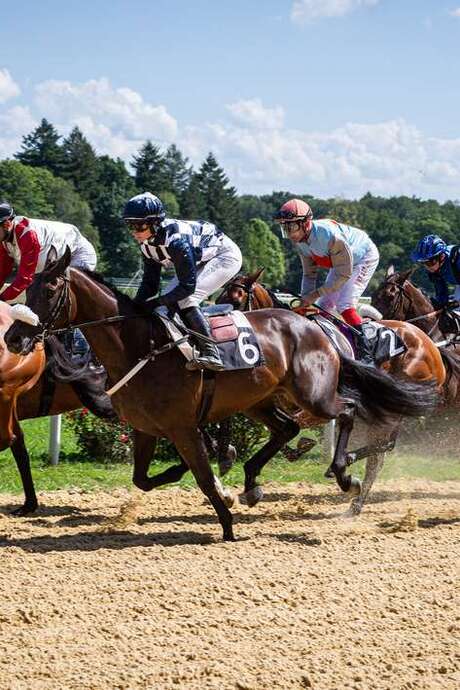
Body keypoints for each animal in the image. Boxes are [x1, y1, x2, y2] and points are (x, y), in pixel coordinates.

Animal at [218, 269, 447, 514]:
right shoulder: (263, 397)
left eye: (236, 300)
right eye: (220, 298)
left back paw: (350, 479)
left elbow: (297, 423)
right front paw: (227, 455)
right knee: (381, 451)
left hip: (393, 407)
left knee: (380, 452)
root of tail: (429, 344)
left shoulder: (315, 402)